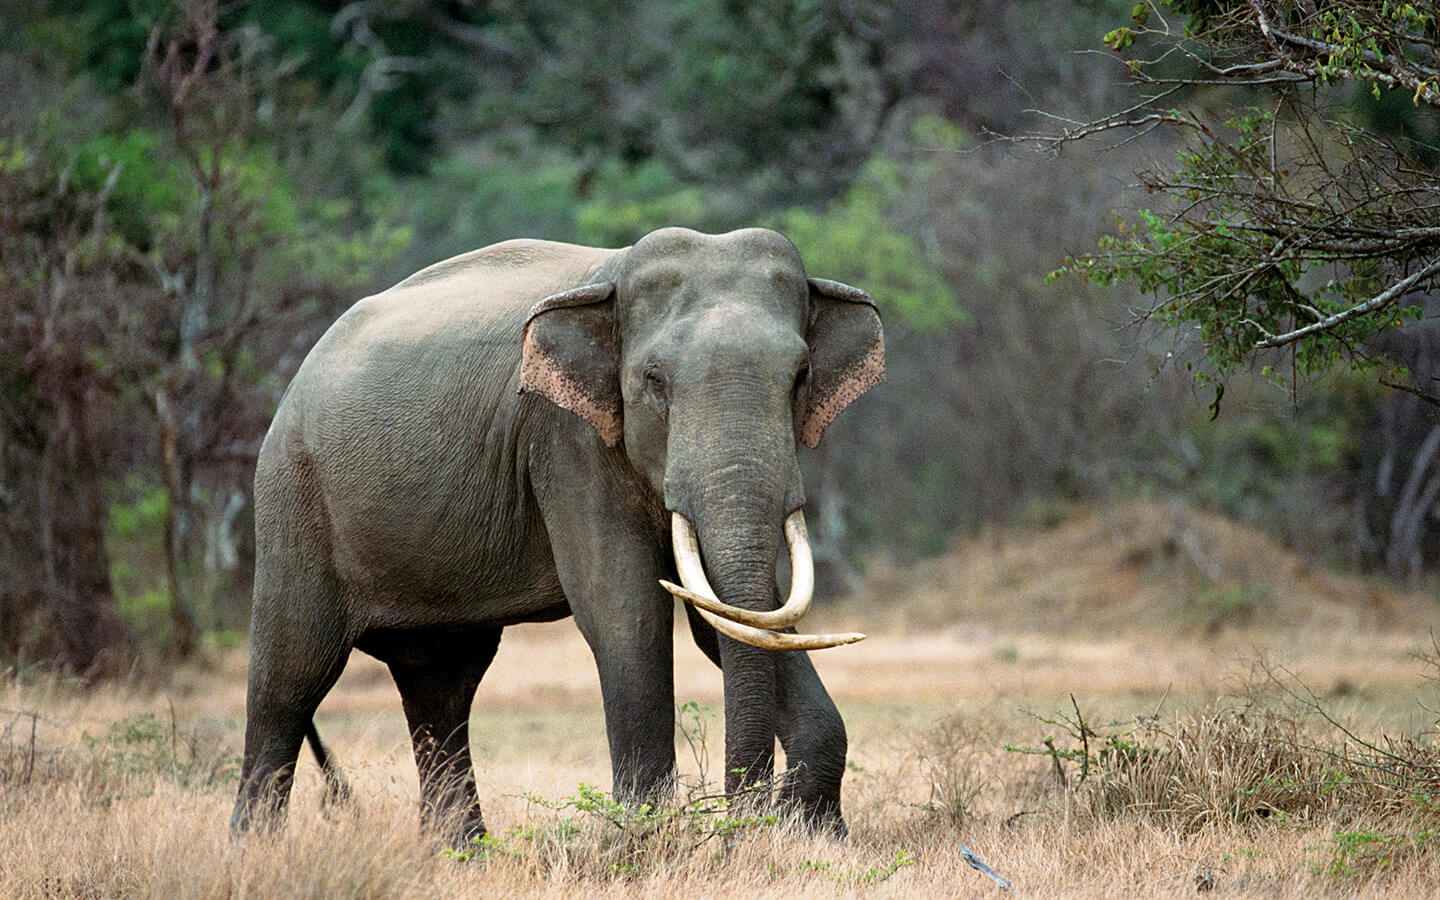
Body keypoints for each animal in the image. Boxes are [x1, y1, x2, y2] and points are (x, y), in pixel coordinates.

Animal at [229, 226, 885, 843]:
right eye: (654, 380)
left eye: (801, 376)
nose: (743, 822)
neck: (612, 277)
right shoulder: (566, 439)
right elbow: (627, 610)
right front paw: (645, 842)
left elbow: (729, 614)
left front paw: (816, 837)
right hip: (293, 496)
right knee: (290, 677)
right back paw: (256, 851)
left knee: (441, 683)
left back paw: (462, 855)